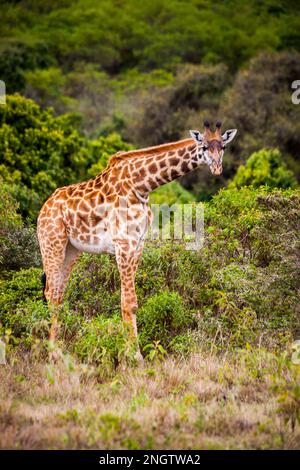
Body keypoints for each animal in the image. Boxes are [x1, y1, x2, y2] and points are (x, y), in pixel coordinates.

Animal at [37, 122, 237, 346]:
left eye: (223, 147)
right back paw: (53, 350)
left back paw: (59, 346)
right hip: (52, 242)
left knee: (58, 294)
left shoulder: (138, 243)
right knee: (50, 292)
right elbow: (128, 302)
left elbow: (130, 302)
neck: (142, 185)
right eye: (203, 147)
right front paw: (133, 352)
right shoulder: (123, 243)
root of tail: (44, 208)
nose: (217, 168)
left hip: (71, 250)